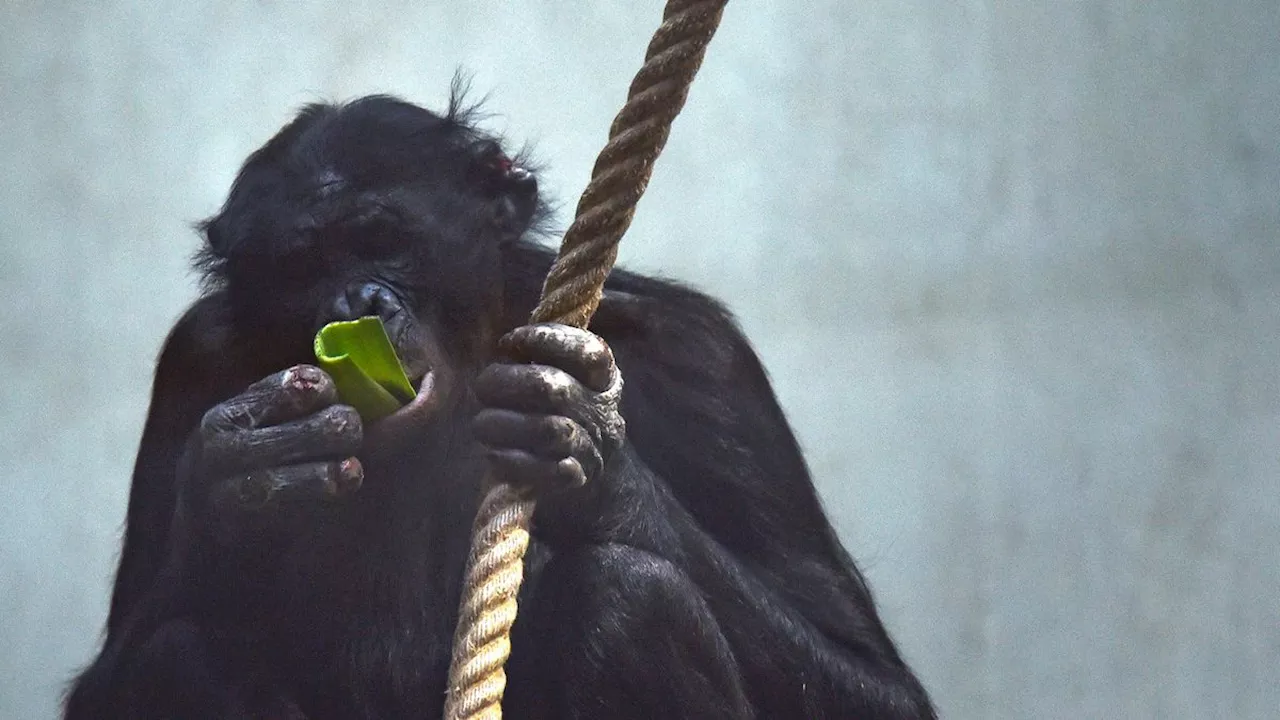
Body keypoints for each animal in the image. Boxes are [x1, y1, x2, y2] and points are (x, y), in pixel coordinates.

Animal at [64, 90, 936, 717]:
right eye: (301, 265)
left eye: (381, 237)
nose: (356, 301)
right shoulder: (193, 361)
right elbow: (118, 672)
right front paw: (239, 477)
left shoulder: (702, 359)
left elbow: (870, 678)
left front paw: (588, 452)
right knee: (177, 654)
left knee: (628, 596)